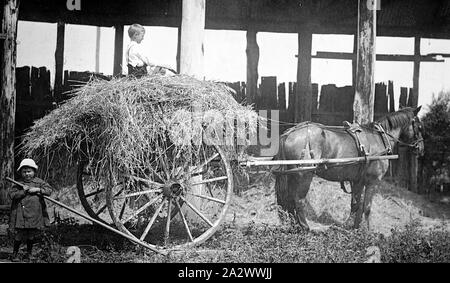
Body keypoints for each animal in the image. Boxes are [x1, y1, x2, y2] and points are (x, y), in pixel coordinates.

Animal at [274, 106, 426, 231]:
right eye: (419, 127)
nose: (421, 149)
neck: (379, 139)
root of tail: (290, 132)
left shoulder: (357, 181)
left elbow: (356, 204)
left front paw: (353, 227)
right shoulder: (373, 181)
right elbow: (367, 207)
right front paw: (367, 231)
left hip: (292, 174)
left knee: (288, 199)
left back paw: (294, 224)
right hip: (304, 174)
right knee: (298, 199)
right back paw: (305, 226)